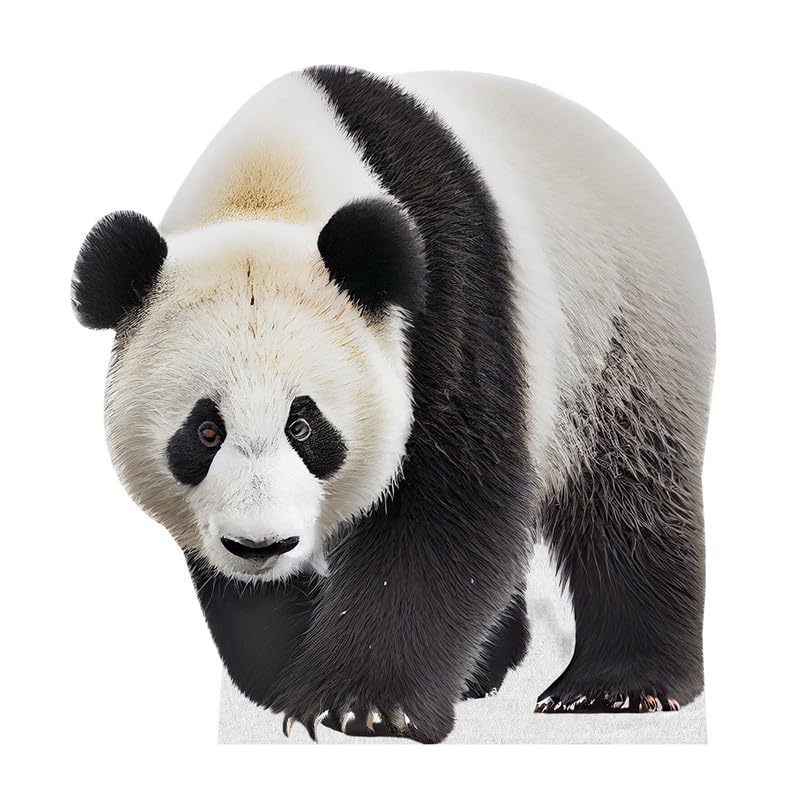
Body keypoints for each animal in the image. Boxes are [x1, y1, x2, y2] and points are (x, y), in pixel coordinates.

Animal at [72, 67, 714, 744]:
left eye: (305, 425)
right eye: (204, 431)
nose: (260, 547)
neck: (267, 189)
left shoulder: (446, 292)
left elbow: (447, 502)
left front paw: (363, 704)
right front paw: (289, 671)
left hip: (625, 329)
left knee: (629, 495)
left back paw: (615, 686)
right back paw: (492, 665)